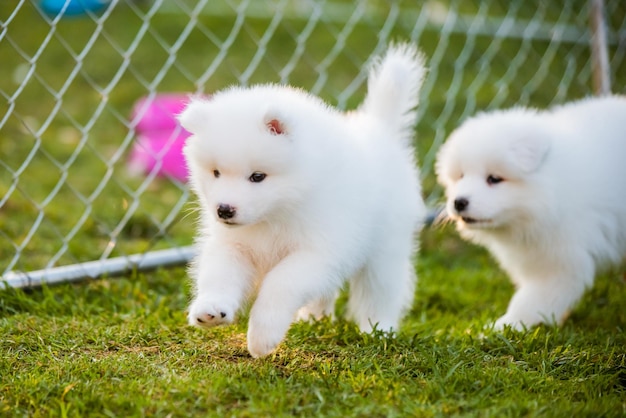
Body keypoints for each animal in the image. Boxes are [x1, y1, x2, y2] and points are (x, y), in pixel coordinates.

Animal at [178, 42, 426, 358]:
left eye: (257, 176)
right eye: (216, 172)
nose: (224, 210)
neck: (276, 214)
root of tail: (380, 129)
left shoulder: (317, 251)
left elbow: (281, 282)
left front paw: (263, 336)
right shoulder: (234, 244)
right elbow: (219, 273)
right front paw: (211, 308)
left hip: (385, 249)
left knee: (380, 291)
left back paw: (379, 330)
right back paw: (314, 318)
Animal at [436, 96, 626, 332]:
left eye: (494, 179)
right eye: (461, 176)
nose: (459, 202)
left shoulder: (560, 258)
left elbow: (531, 299)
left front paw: (503, 326)